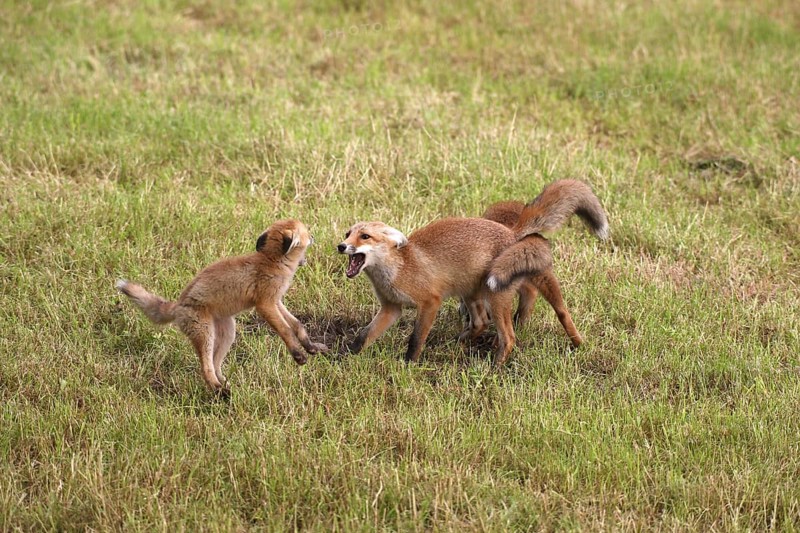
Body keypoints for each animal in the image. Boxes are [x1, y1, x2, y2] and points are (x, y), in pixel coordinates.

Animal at [115, 219, 328, 397]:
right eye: (307, 233)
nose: (315, 236)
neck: (272, 261)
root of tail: (178, 305)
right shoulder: (265, 304)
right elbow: (285, 330)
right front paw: (298, 355)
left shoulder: (276, 301)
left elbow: (297, 325)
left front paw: (310, 346)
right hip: (206, 334)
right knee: (205, 368)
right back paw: (220, 391)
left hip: (227, 334)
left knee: (216, 365)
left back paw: (226, 386)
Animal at [337, 179, 608, 366]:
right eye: (348, 234)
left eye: (365, 236)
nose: (340, 246)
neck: (397, 270)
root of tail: (512, 233)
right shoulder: (391, 307)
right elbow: (364, 335)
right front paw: (346, 357)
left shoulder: (430, 302)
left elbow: (415, 340)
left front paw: (408, 365)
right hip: (471, 293)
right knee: (480, 322)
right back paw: (460, 344)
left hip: (496, 295)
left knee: (511, 335)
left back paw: (496, 367)